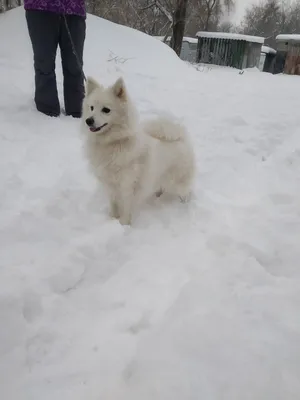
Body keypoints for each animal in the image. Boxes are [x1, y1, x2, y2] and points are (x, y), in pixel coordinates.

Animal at [81, 76, 196, 223]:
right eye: (91, 108)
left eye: (106, 110)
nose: (88, 121)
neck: (113, 142)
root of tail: (180, 138)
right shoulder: (110, 185)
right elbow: (113, 205)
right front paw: (112, 219)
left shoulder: (127, 186)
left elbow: (125, 210)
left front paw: (123, 225)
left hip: (177, 181)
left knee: (186, 191)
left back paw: (184, 204)